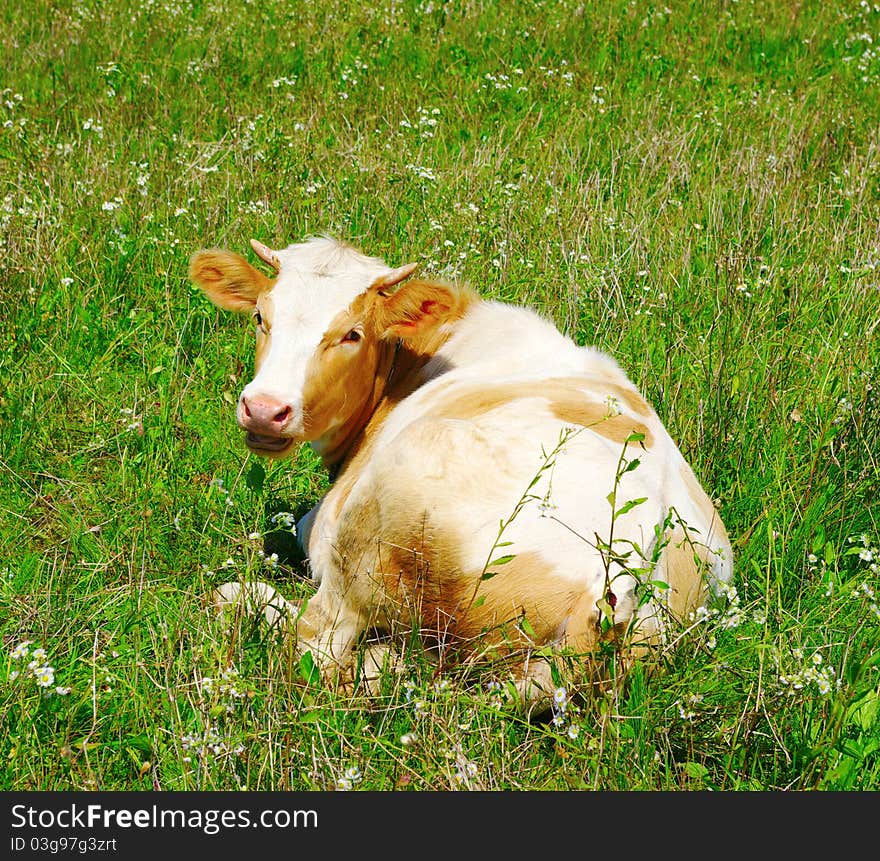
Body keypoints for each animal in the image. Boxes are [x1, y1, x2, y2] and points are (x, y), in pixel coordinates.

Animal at [189, 235, 732, 712]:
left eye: (352, 334)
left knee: (318, 643)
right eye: (261, 317)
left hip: (390, 496)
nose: (265, 409)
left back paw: (247, 600)